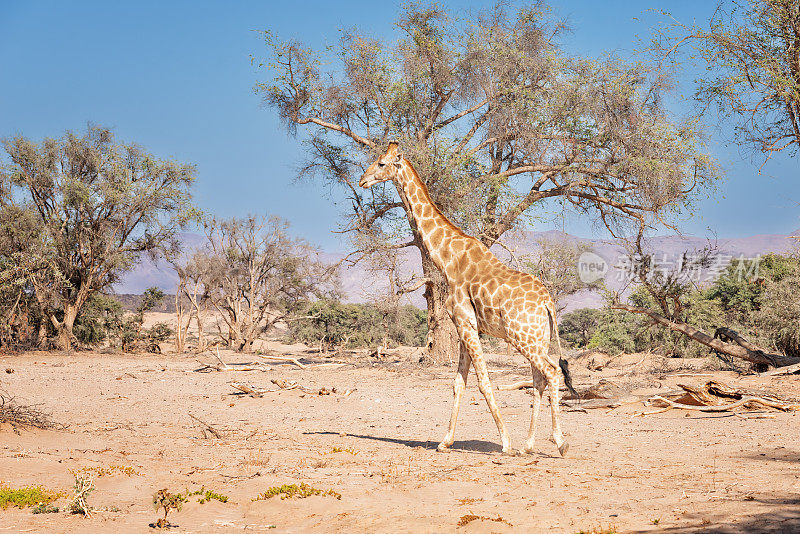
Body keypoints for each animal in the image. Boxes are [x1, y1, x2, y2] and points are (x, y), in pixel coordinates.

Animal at [358, 141, 576, 456]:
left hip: (522, 336)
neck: (447, 258)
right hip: (539, 337)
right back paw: (528, 445)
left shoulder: (466, 323)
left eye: (382, 164)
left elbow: (484, 382)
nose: (362, 180)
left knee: (552, 372)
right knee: (539, 378)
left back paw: (559, 442)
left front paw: (505, 442)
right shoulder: (464, 326)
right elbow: (458, 383)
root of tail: (548, 302)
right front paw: (445, 441)